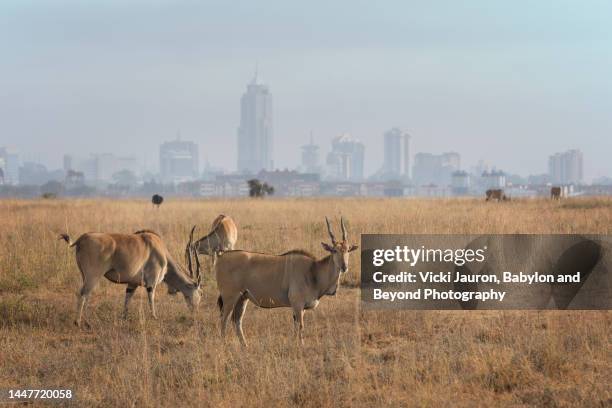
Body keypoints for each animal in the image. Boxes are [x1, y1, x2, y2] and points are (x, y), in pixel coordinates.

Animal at [59, 230, 200, 328]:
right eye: (200, 292)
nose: (195, 311)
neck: (162, 251)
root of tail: (82, 238)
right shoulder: (151, 283)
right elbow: (151, 300)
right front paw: (154, 317)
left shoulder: (132, 284)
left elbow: (127, 300)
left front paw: (124, 318)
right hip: (93, 276)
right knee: (82, 294)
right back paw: (79, 322)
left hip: (86, 277)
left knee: (86, 296)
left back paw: (86, 322)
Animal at [215, 215, 358, 346]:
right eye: (334, 250)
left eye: (347, 250)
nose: (344, 267)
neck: (313, 270)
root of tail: (221, 256)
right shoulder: (297, 304)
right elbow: (300, 327)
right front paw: (301, 346)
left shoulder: (300, 308)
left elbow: (296, 327)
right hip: (230, 298)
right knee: (224, 320)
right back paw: (224, 345)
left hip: (242, 298)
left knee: (237, 321)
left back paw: (245, 346)